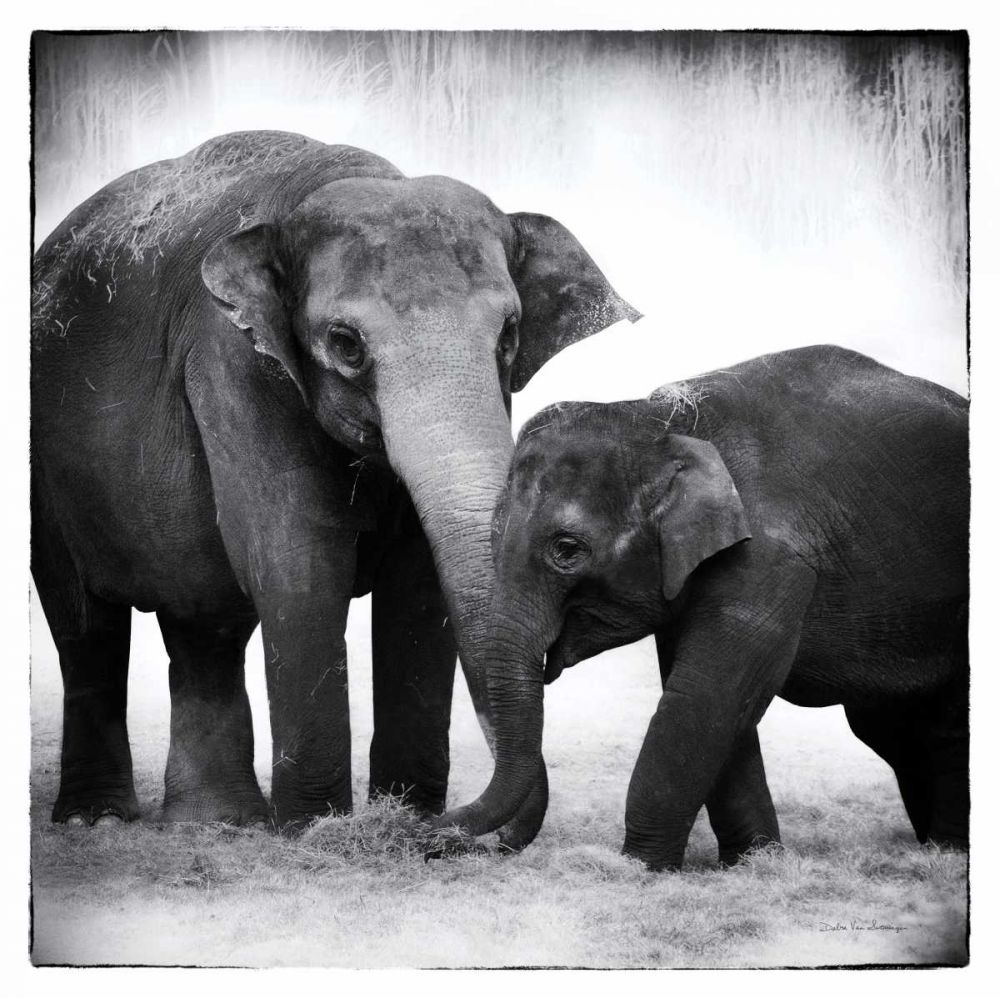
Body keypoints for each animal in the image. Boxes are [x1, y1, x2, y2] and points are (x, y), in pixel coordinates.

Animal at [30, 130, 638, 834]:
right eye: (345, 343)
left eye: (508, 336)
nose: (449, 824)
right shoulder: (233, 360)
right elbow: (298, 561)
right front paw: (316, 829)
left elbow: (419, 580)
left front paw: (402, 817)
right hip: (45, 477)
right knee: (86, 625)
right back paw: (97, 820)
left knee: (203, 624)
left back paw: (217, 823)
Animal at [435, 345, 969, 870]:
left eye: (567, 550)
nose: (434, 835)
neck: (663, 421)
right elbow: (714, 702)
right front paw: (751, 864)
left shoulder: (770, 558)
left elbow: (704, 695)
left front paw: (640, 868)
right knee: (895, 731)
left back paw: (946, 853)